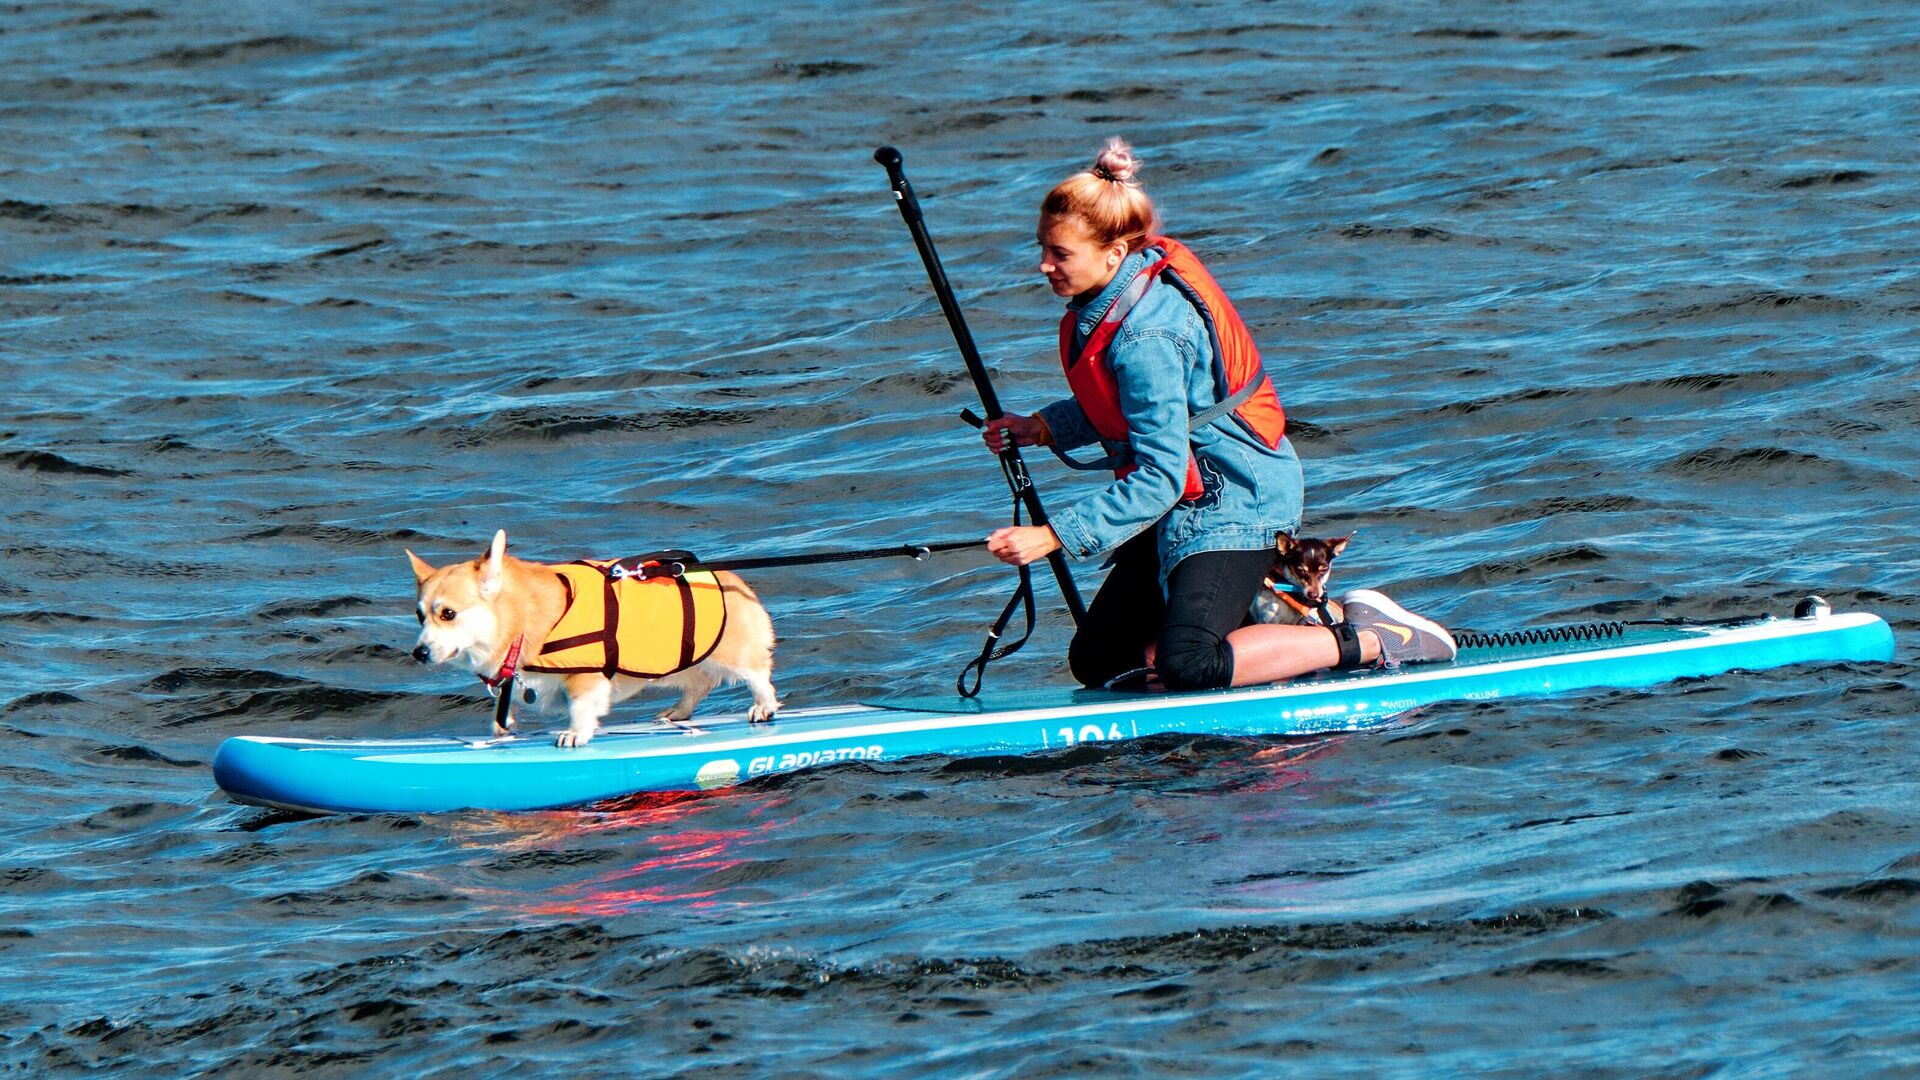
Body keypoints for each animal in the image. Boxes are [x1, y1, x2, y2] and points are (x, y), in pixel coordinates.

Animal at [408, 526, 775, 745]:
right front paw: (499, 734)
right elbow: (503, 709)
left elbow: (581, 707)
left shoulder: (585, 677)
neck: (519, 616)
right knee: (700, 682)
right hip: (670, 664)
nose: (419, 654)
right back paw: (677, 713)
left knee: (758, 676)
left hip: (731, 655)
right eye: (419, 615)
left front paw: (574, 734)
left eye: (448, 613)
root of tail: (735, 580)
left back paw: (763, 707)